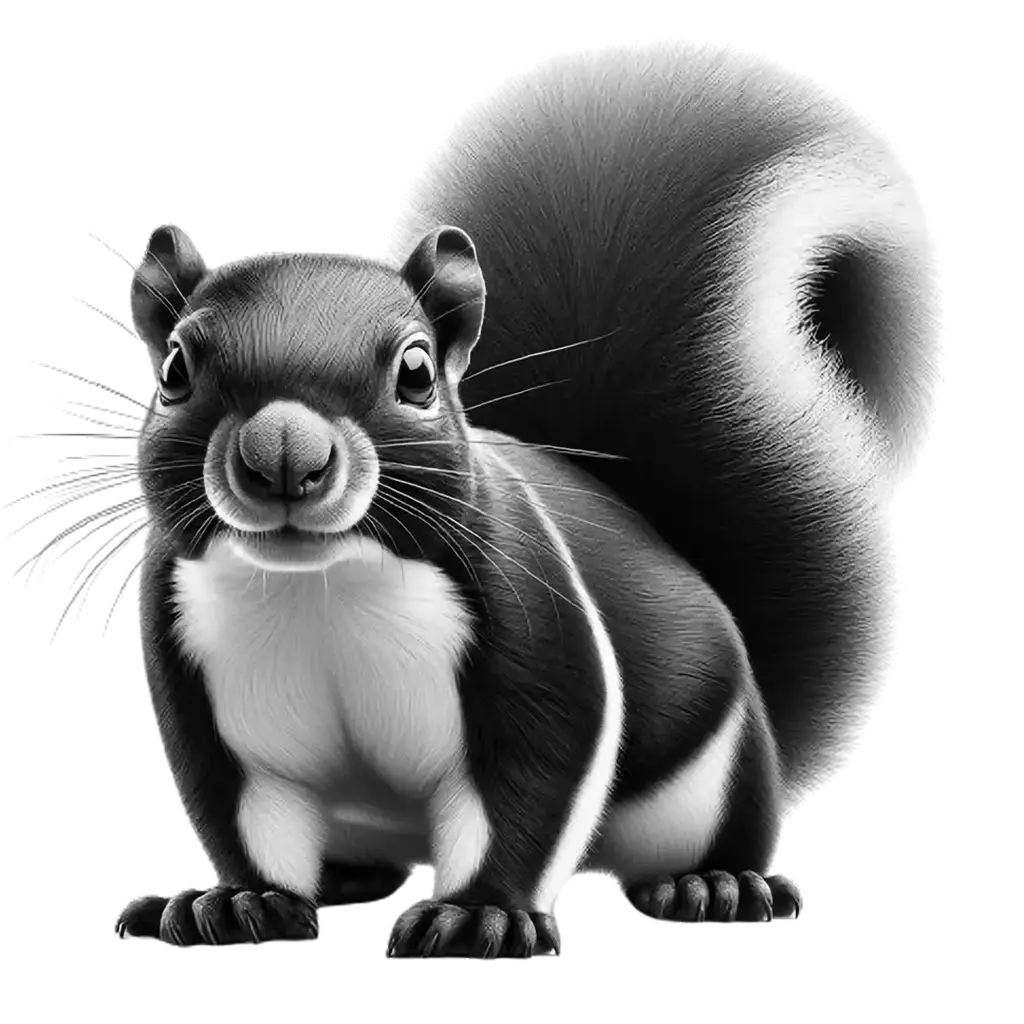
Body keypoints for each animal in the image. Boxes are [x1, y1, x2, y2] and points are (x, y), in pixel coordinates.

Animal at [114, 37, 944, 958]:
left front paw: (481, 915)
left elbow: (534, 778)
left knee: (715, 823)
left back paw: (713, 883)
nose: (285, 456)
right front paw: (236, 903)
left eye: (416, 372)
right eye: (175, 369)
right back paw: (350, 882)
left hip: (711, 770)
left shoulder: (533, 616)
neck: (321, 588)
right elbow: (239, 807)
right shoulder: (195, 669)